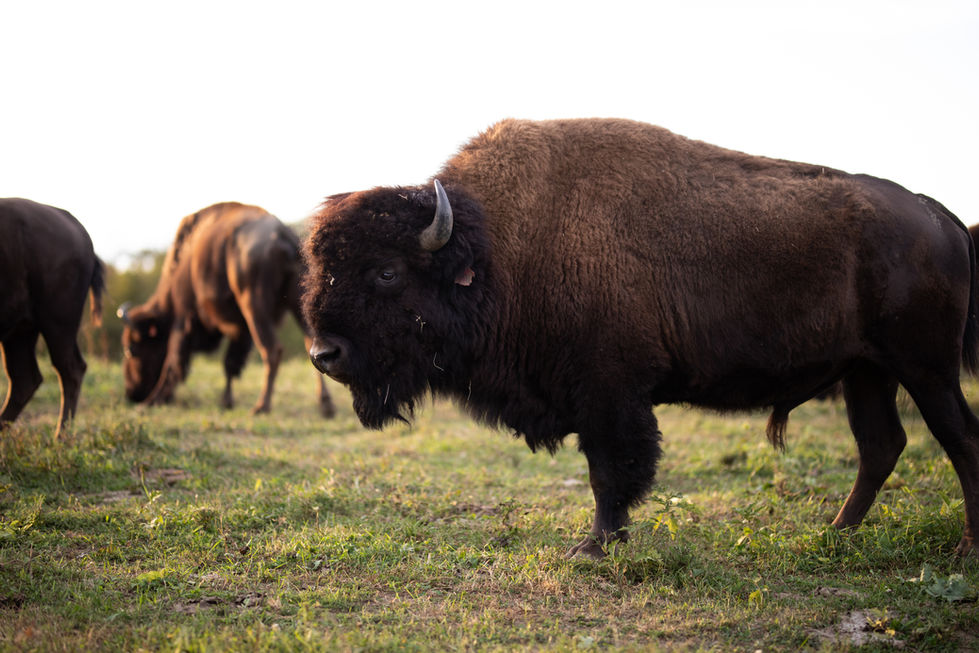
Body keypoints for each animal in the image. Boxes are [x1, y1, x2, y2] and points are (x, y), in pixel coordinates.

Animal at [120, 202, 335, 417]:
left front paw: (151, 401)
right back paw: (325, 406)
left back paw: (261, 406)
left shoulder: (183, 319)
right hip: (300, 303)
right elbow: (230, 363)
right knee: (311, 344)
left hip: (255, 308)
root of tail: (283, 234)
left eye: (131, 349)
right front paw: (226, 402)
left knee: (272, 350)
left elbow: (173, 363)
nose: (131, 393)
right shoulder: (239, 329)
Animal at [302, 118, 979, 559]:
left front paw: (594, 548)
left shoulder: (610, 392)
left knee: (957, 439)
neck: (494, 250)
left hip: (926, 367)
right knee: (881, 447)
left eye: (386, 272)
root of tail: (935, 213)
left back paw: (964, 550)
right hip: (868, 370)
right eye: (321, 266)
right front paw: (604, 543)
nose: (323, 354)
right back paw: (833, 535)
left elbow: (611, 471)